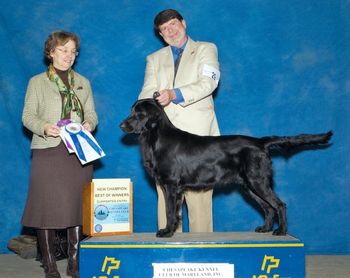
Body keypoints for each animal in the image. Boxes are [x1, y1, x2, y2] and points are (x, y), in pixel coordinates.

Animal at [120, 96, 330, 238]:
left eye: (139, 114)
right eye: (131, 111)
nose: (122, 125)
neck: (156, 138)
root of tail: (260, 142)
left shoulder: (171, 185)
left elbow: (171, 211)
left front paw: (167, 231)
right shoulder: (166, 186)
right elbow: (169, 211)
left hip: (257, 181)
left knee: (279, 205)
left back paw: (281, 231)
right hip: (249, 186)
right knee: (268, 208)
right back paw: (265, 229)